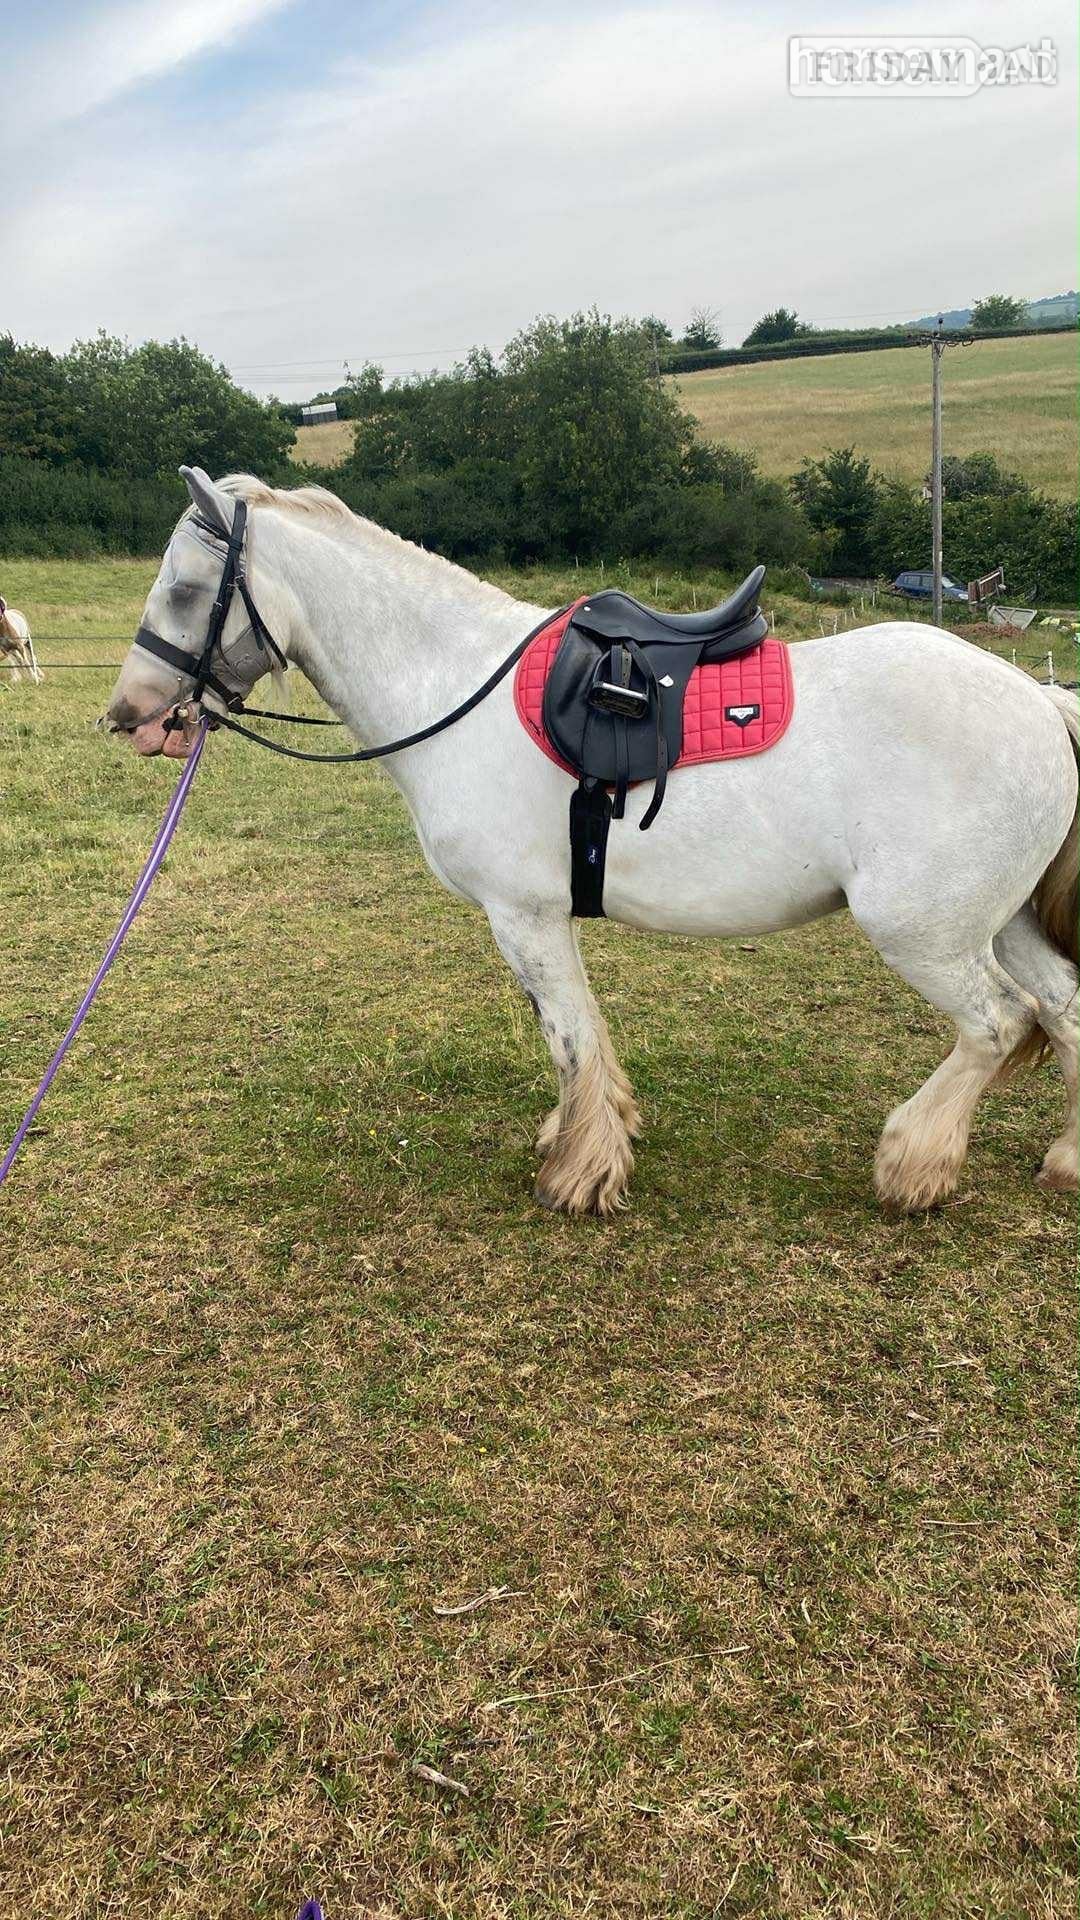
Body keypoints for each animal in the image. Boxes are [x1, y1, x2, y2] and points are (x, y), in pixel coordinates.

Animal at [104, 467, 1079, 1217]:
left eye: (185, 590)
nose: (131, 718)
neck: (451, 683)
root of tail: (1040, 702)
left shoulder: (525, 916)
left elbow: (571, 1039)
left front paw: (579, 1174)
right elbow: (577, 1039)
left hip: (926, 932)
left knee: (997, 1024)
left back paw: (914, 1165)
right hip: (1002, 922)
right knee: (1065, 1004)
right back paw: (1065, 1160)